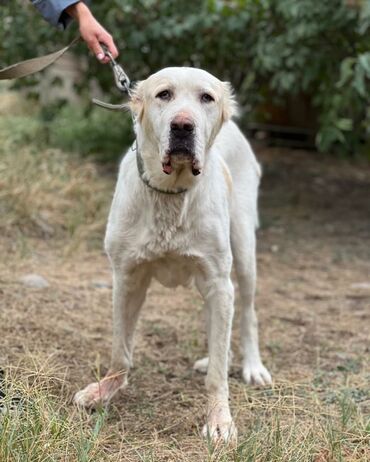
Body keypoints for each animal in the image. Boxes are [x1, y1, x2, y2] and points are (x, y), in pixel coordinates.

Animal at [75, 67, 272, 442]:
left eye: (206, 98)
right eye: (163, 94)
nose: (183, 126)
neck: (170, 192)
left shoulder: (219, 282)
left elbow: (217, 377)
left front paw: (219, 419)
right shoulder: (126, 278)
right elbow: (120, 350)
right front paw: (106, 390)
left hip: (243, 253)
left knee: (248, 313)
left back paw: (251, 365)